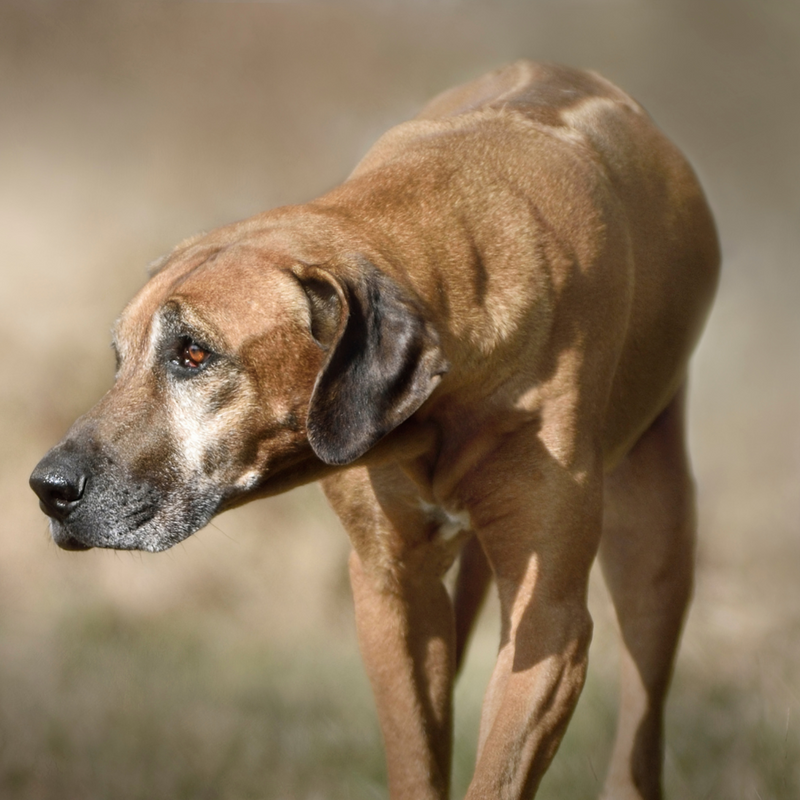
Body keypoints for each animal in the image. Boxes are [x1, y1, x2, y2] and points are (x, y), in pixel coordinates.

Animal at [29, 62, 720, 800]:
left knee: (639, 720)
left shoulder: (549, 625)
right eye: (120, 358)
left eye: (193, 353)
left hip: (654, 536)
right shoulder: (391, 590)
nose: (48, 488)